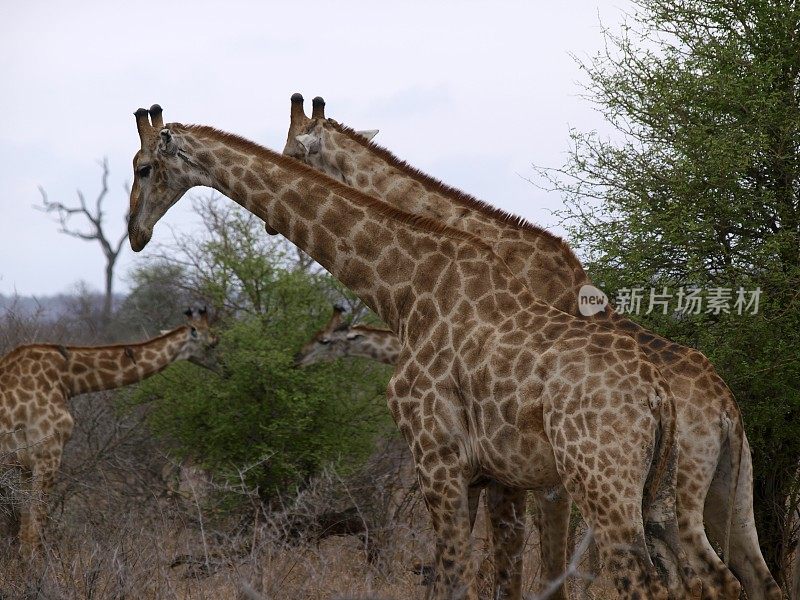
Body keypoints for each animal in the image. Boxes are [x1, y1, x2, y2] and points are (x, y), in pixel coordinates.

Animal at [0, 308, 217, 560]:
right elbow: (35, 532)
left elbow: (25, 531)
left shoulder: (25, 465)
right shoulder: (47, 454)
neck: (67, 378)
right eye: (214, 343)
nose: (227, 369)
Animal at [126, 108, 700, 600]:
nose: (134, 232)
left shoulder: (450, 458)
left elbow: (471, 575)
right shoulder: (490, 471)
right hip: (657, 498)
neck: (411, 286)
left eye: (143, 166)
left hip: (607, 483)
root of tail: (667, 398)